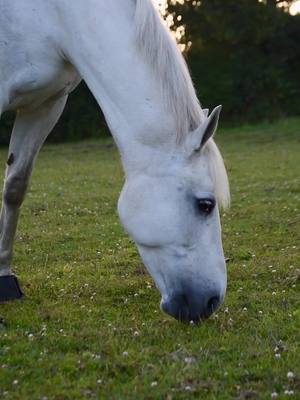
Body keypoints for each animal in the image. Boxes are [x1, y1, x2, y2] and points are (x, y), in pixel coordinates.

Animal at [0, 0, 230, 320]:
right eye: (205, 205)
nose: (210, 302)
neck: (53, 15)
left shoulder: (46, 104)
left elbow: (15, 187)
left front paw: (5, 278)